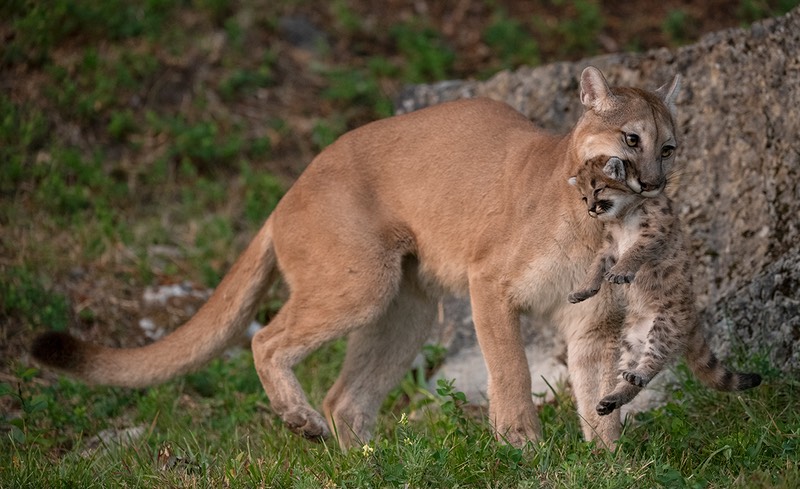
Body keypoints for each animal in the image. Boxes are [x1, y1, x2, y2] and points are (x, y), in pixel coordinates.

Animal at [32, 66, 680, 450]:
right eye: (630, 140)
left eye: (670, 147)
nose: (652, 183)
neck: (594, 225)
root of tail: (288, 191)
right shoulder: (489, 282)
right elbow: (511, 370)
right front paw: (523, 444)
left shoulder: (594, 323)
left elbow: (598, 393)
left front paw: (606, 461)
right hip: (362, 282)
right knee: (264, 340)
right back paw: (302, 422)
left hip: (406, 308)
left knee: (345, 395)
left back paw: (369, 463)